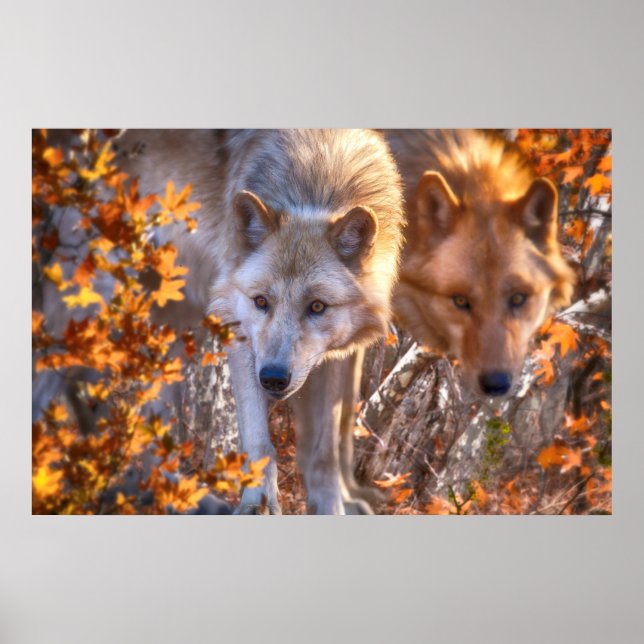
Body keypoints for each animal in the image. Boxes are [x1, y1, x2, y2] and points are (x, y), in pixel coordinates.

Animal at [114, 129, 404, 514]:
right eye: (261, 301)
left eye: (316, 306)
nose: (274, 378)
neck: (315, 180)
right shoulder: (240, 334)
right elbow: (260, 443)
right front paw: (258, 505)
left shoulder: (338, 357)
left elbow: (327, 445)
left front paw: (333, 505)